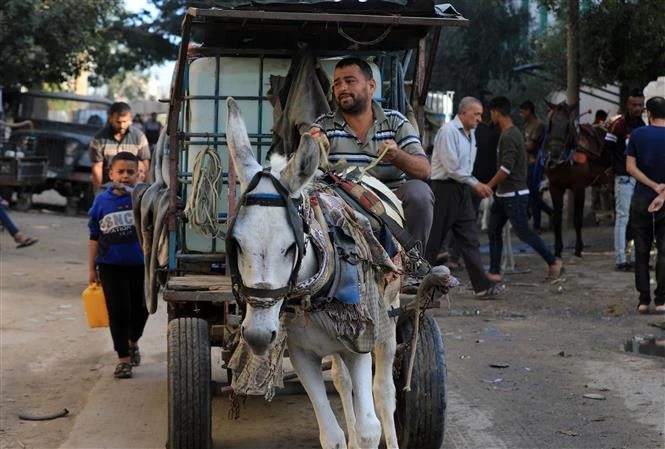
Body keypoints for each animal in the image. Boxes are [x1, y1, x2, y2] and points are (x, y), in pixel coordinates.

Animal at [544, 101, 608, 256]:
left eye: (568, 125)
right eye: (550, 123)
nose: (554, 155)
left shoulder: (579, 187)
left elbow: (577, 219)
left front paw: (578, 248)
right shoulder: (555, 187)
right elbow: (557, 218)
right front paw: (557, 248)